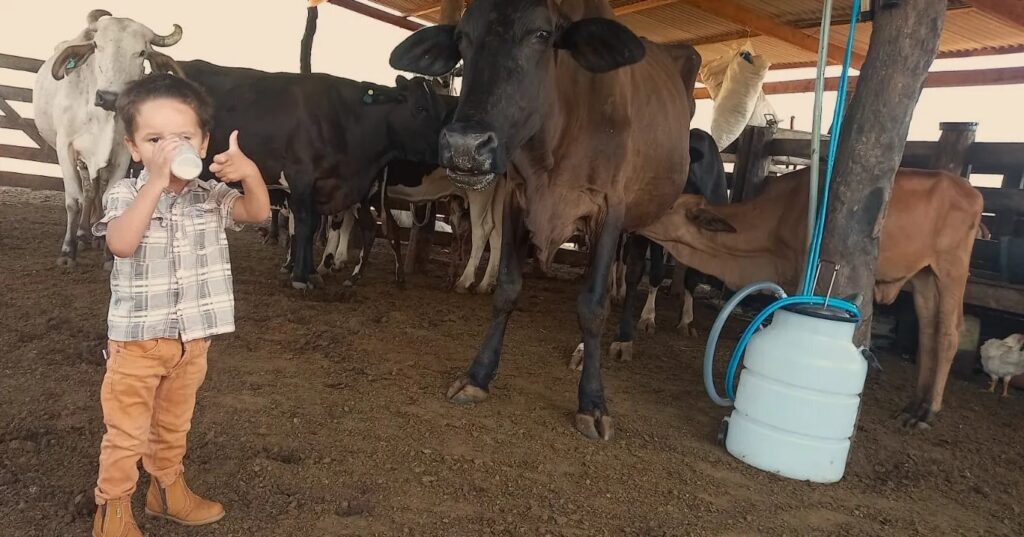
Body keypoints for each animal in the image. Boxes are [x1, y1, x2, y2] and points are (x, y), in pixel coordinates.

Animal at [33, 9, 184, 267]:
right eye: (97, 45)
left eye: (141, 52)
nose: (108, 97)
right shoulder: (66, 147)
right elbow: (73, 200)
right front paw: (68, 251)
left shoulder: (122, 153)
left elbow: (108, 198)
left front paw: (109, 255)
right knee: (87, 191)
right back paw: (83, 234)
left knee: (96, 189)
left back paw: (96, 235)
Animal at [178, 60, 456, 289]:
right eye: (420, 108)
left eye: (443, 111)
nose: (450, 148)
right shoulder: (300, 177)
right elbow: (304, 224)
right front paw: (301, 276)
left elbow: (311, 227)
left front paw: (309, 271)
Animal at [390, 0, 701, 440]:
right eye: (463, 37)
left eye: (541, 35)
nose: (465, 146)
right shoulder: (517, 197)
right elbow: (507, 289)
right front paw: (478, 376)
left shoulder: (609, 209)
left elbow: (593, 305)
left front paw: (592, 403)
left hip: (644, 213)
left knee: (634, 273)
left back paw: (624, 338)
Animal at [640, 167, 984, 428]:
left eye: (670, 207)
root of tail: (970, 189)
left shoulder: (802, 270)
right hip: (924, 276)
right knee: (927, 333)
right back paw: (913, 406)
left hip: (951, 268)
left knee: (949, 334)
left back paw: (927, 412)